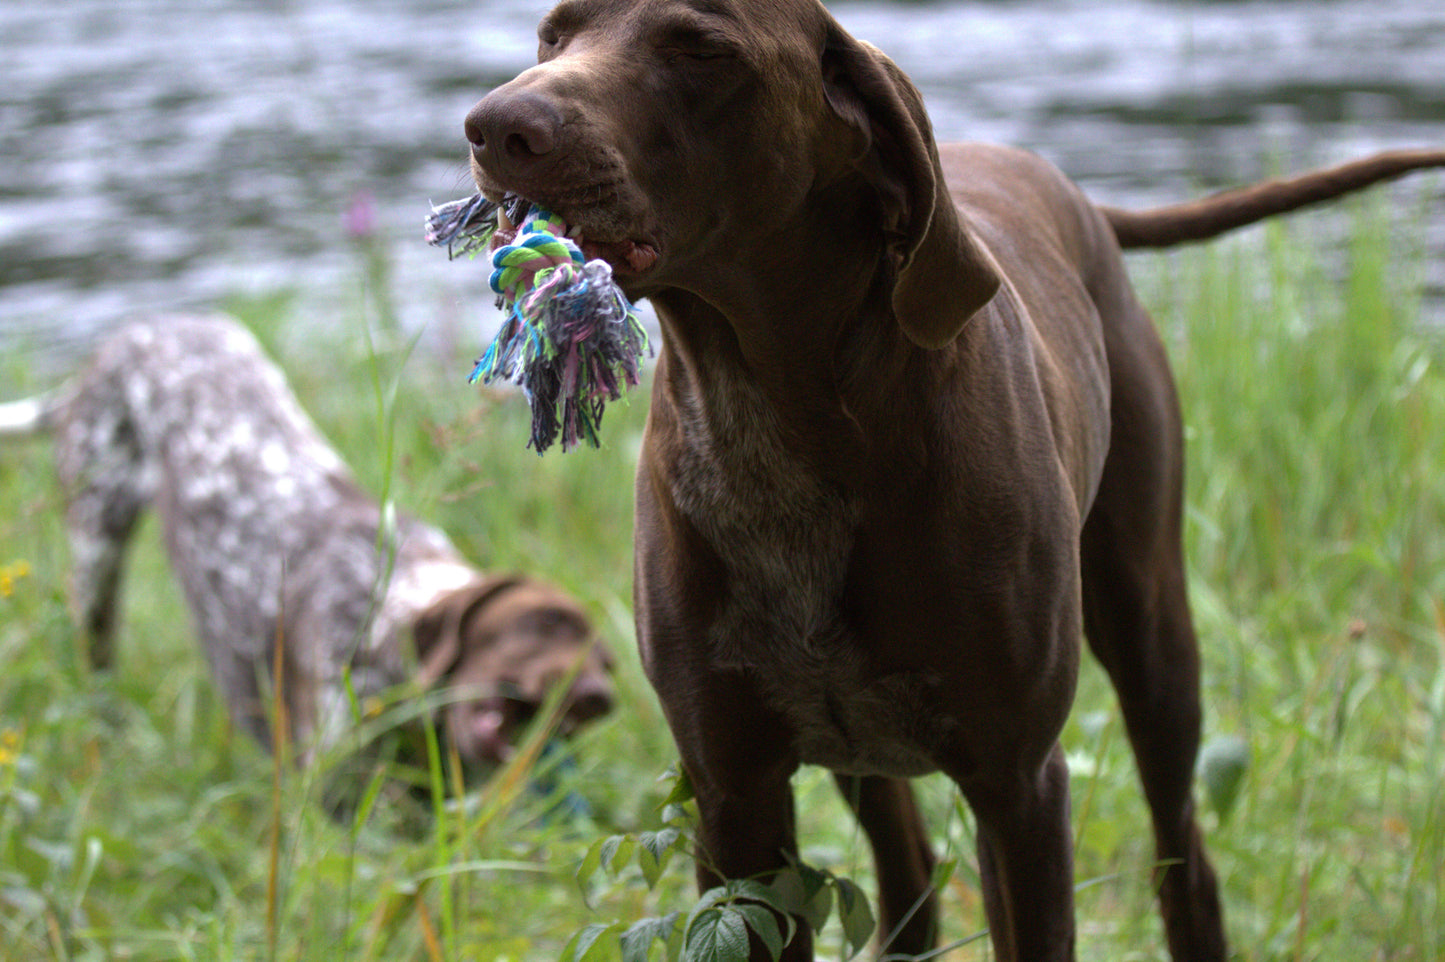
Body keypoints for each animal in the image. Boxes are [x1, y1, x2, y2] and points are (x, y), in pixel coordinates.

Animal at [459, 3, 1445, 953]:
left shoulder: (1018, 782)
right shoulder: (734, 797)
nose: (495, 126)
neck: (776, 426)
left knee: (1183, 865)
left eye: (699, 47)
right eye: (553, 35)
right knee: (913, 877)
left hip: (1151, 638)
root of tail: (1072, 193)